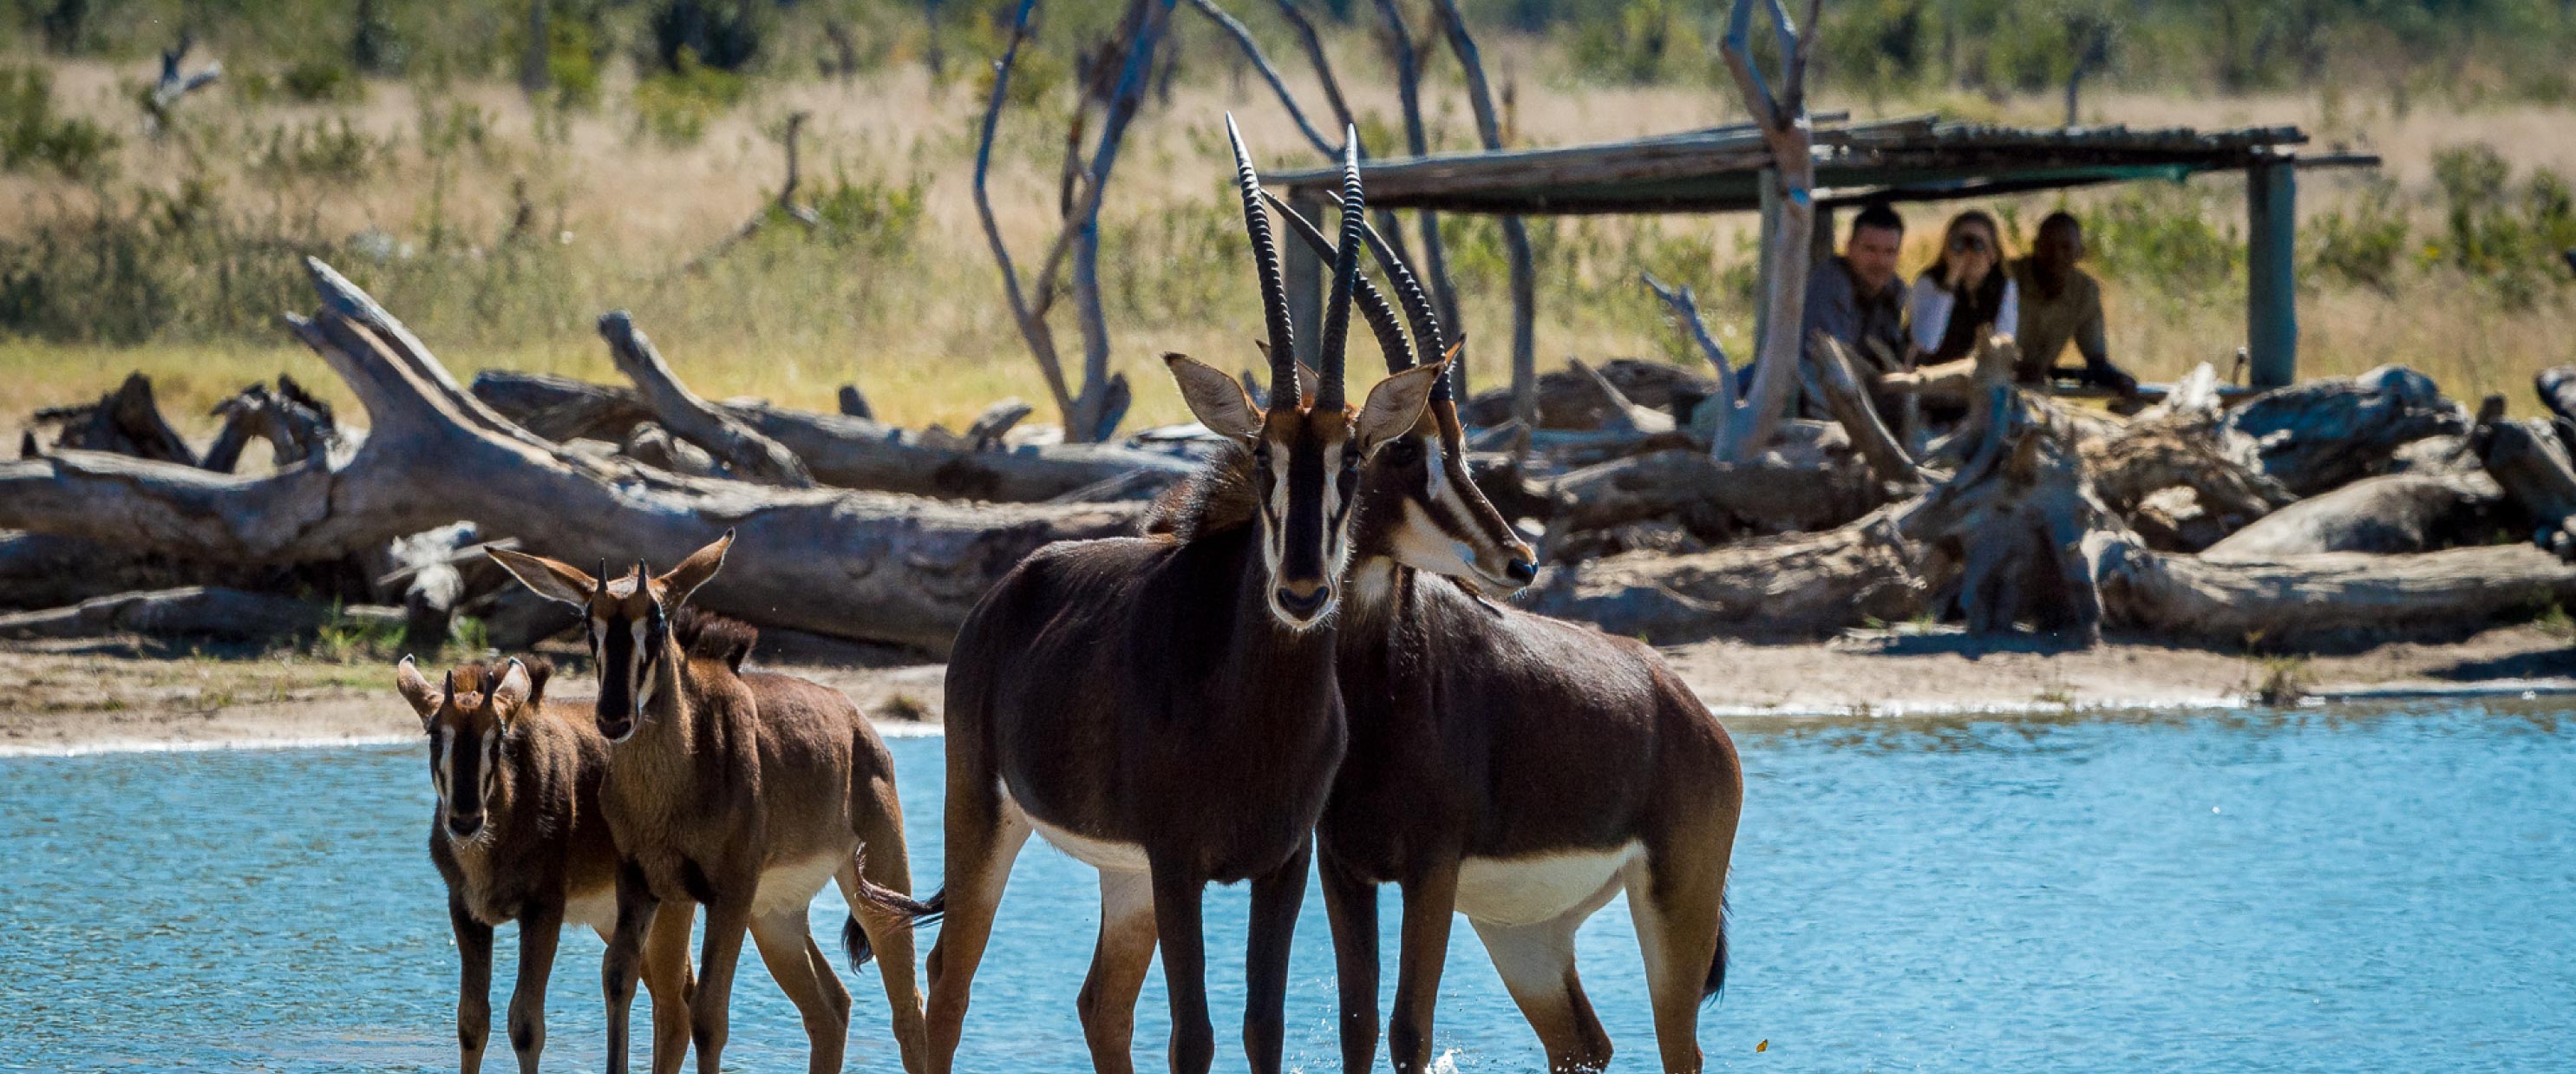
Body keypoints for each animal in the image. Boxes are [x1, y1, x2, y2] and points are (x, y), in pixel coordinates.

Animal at [394, 654, 695, 1071]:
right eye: (435, 735)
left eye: (498, 738)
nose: (465, 821)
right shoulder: (465, 909)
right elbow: (471, 1022)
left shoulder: (543, 908)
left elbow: (525, 1025)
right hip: (612, 916)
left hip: (670, 905)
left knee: (671, 1005)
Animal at [487, 535, 932, 1071]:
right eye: (588, 622)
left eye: (658, 621)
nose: (614, 716)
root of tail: (857, 722)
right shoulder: (643, 883)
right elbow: (619, 981)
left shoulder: (728, 892)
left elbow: (709, 1014)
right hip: (775, 915)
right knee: (831, 1007)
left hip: (875, 880)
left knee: (908, 1008)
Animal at [870, 119, 1453, 1071]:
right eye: (1261, 459)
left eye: (1354, 461)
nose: (1301, 592)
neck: (1251, 705)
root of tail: (1006, 594)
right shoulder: (1181, 864)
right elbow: (1193, 1035)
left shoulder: (1279, 865)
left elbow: (1261, 1028)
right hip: (988, 814)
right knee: (948, 977)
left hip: (1125, 873)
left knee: (1100, 1002)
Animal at [1272, 197, 1751, 1066]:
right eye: (1401, 448)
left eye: (1458, 445)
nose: (1518, 559)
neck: (1381, 679)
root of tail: (1691, 713)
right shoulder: (1345, 868)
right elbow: (1360, 1026)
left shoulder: (1429, 870)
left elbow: (1409, 1030)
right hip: (1523, 933)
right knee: (1584, 1043)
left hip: (1675, 905)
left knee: (1680, 1049)